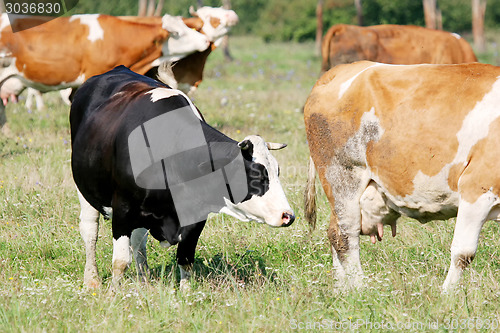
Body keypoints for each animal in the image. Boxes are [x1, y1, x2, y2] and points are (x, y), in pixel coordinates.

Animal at [72, 65, 294, 288]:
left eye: (277, 172)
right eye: (255, 175)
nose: (288, 216)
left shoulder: (196, 216)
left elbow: (185, 259)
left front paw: (186, 294)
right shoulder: (123, 208)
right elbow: (120, 262)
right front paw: (114, 293)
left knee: (138, 240)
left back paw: (144, 281)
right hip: (86, 190)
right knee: (90, 231)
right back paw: (92, 280)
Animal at [302, 60, 500, 290]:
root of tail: (339, 71)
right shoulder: (476, 188)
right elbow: (463, 253)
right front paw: (447, 294)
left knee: (334, 231)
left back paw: (342, 289)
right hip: (341, 176)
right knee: (344, 235)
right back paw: (360, 289)